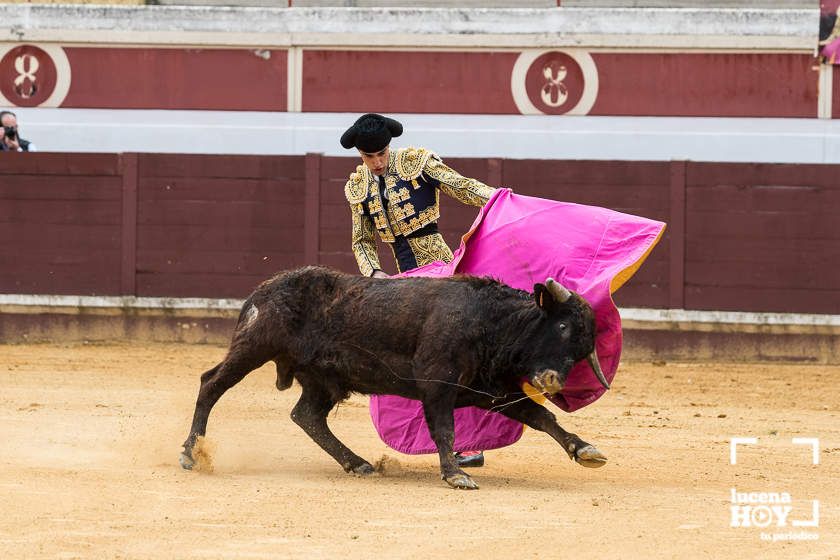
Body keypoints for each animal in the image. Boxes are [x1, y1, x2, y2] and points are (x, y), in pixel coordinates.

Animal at [179, 264, 612, 488]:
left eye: (582, 350)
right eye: (561, 327)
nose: (554, 380)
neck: (489, 323)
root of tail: (262, 290)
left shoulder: (494, 392)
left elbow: (543, 418)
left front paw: (585, 450)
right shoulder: (438, 386)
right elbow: (445, 430)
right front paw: (455, 475)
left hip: (321, 379)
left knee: (306, 416)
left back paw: (357, 463)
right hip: (253, 348)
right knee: (211, 385)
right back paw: (189, 452)